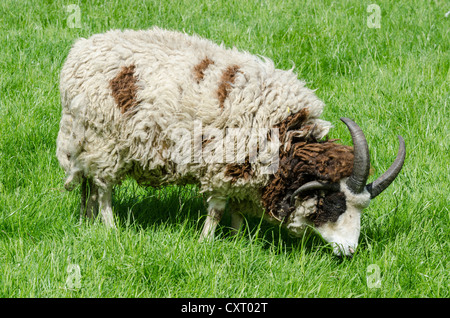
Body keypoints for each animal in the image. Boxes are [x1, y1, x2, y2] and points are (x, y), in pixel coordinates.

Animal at [55, 26, 404, 256]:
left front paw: (237, 241)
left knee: (89, 185)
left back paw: (88, 219)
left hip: (88, 143)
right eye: (333, 203)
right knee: (104, 190)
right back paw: (111, 227)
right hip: (104, 142)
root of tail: (80, 51)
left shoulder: (245, 171)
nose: (350, 251)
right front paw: (206, 242)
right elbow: (217, 209)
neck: (285, 138)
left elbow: (235, 210)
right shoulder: (224, 166)